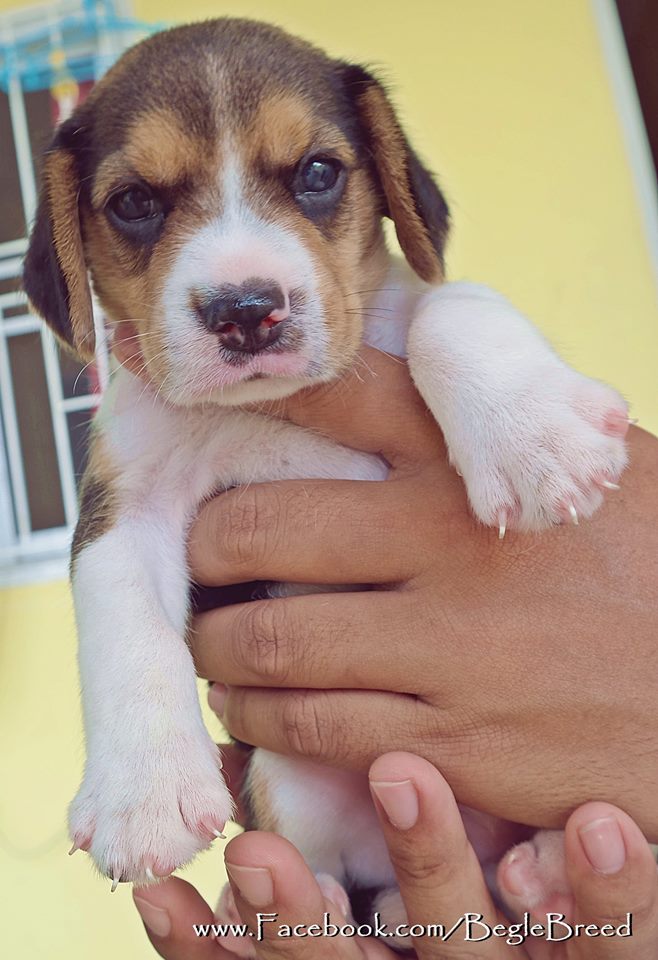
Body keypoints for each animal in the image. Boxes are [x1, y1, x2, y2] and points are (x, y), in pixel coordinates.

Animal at [23, 17, 630, 934]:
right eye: (133, 202)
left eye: (317, 173)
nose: (244, 309)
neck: (268, 411)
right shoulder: (124, 504)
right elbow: (124, 624)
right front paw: (142, 794)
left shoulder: (412, 305)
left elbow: (454, 305)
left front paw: (536, 438)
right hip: (290, 786)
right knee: (343, 870)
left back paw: (553, 867)